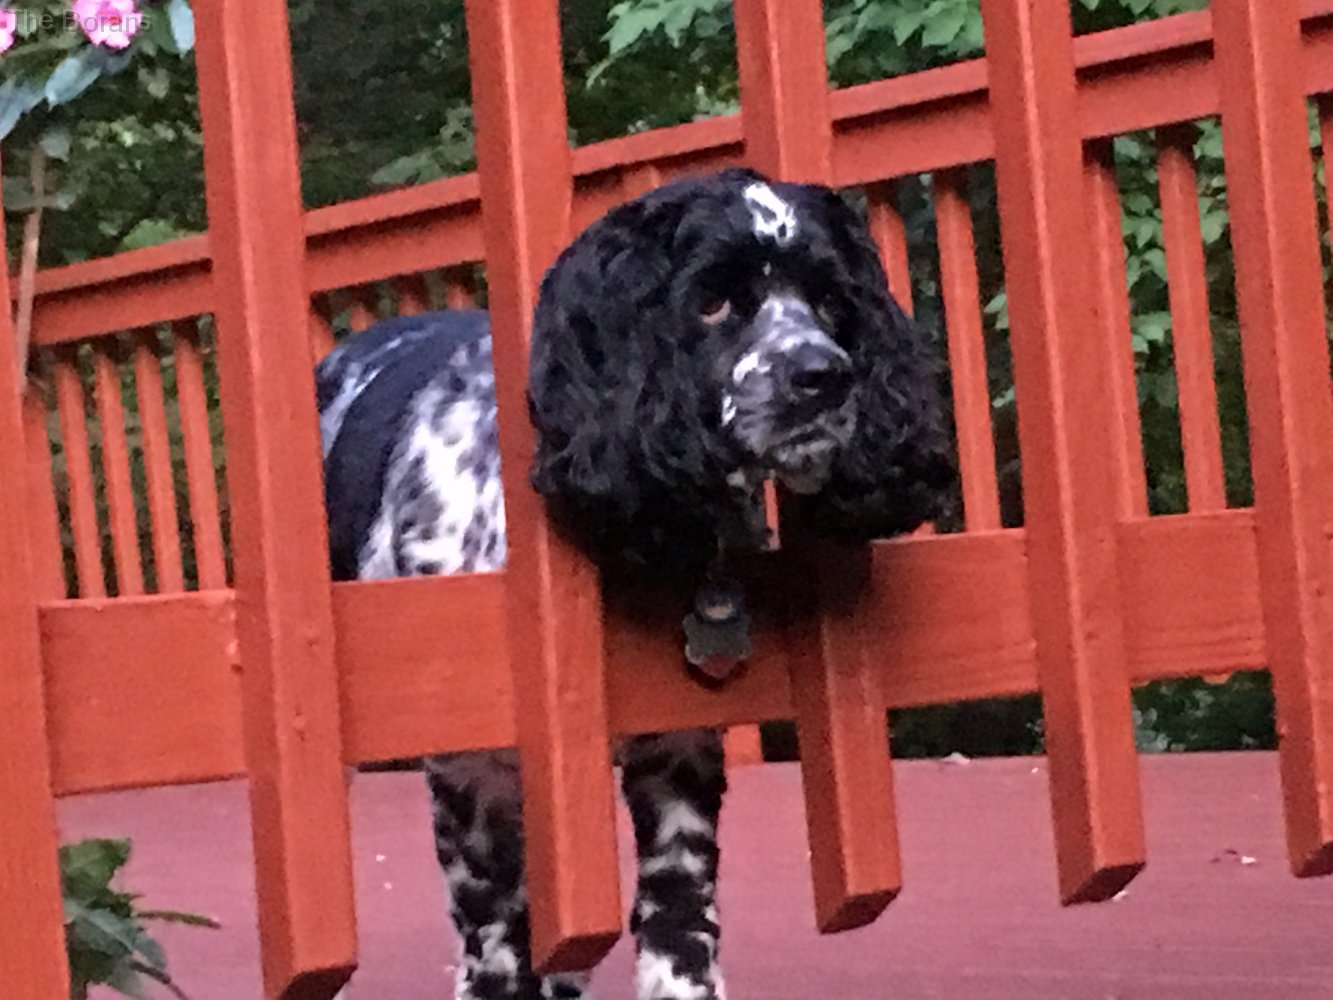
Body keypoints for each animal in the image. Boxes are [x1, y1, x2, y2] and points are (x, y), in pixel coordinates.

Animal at [317, 167, 952, 1000]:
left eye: (828, 302)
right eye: (710, 301)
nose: (825, 375)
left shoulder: (675, 750)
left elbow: (677, 919)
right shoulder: (472, 772)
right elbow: (496, 944)